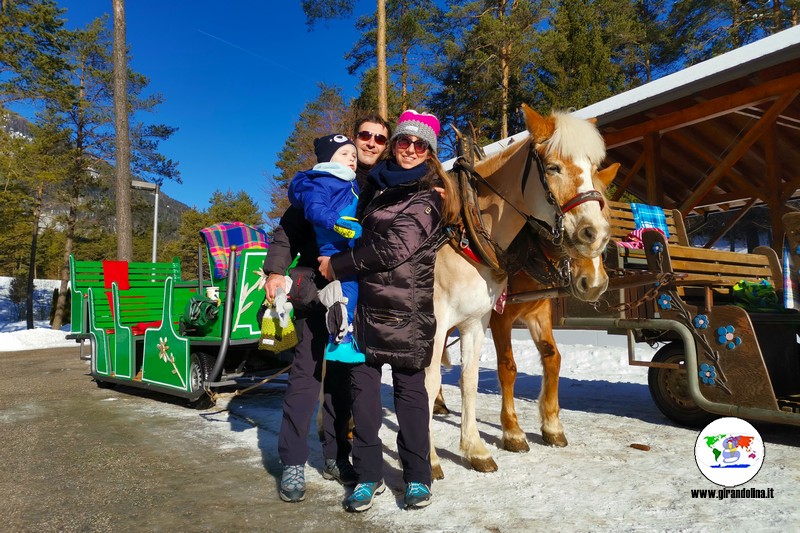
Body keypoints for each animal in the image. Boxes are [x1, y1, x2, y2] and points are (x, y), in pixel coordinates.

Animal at [428, 104, 616, 478]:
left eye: (593, 170)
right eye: (554, 167)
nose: (594, 283)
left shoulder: (529, 312)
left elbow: (550, 358)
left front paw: (550, 427)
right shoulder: (495, 319)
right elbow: (507, 367)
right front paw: (512, 432)